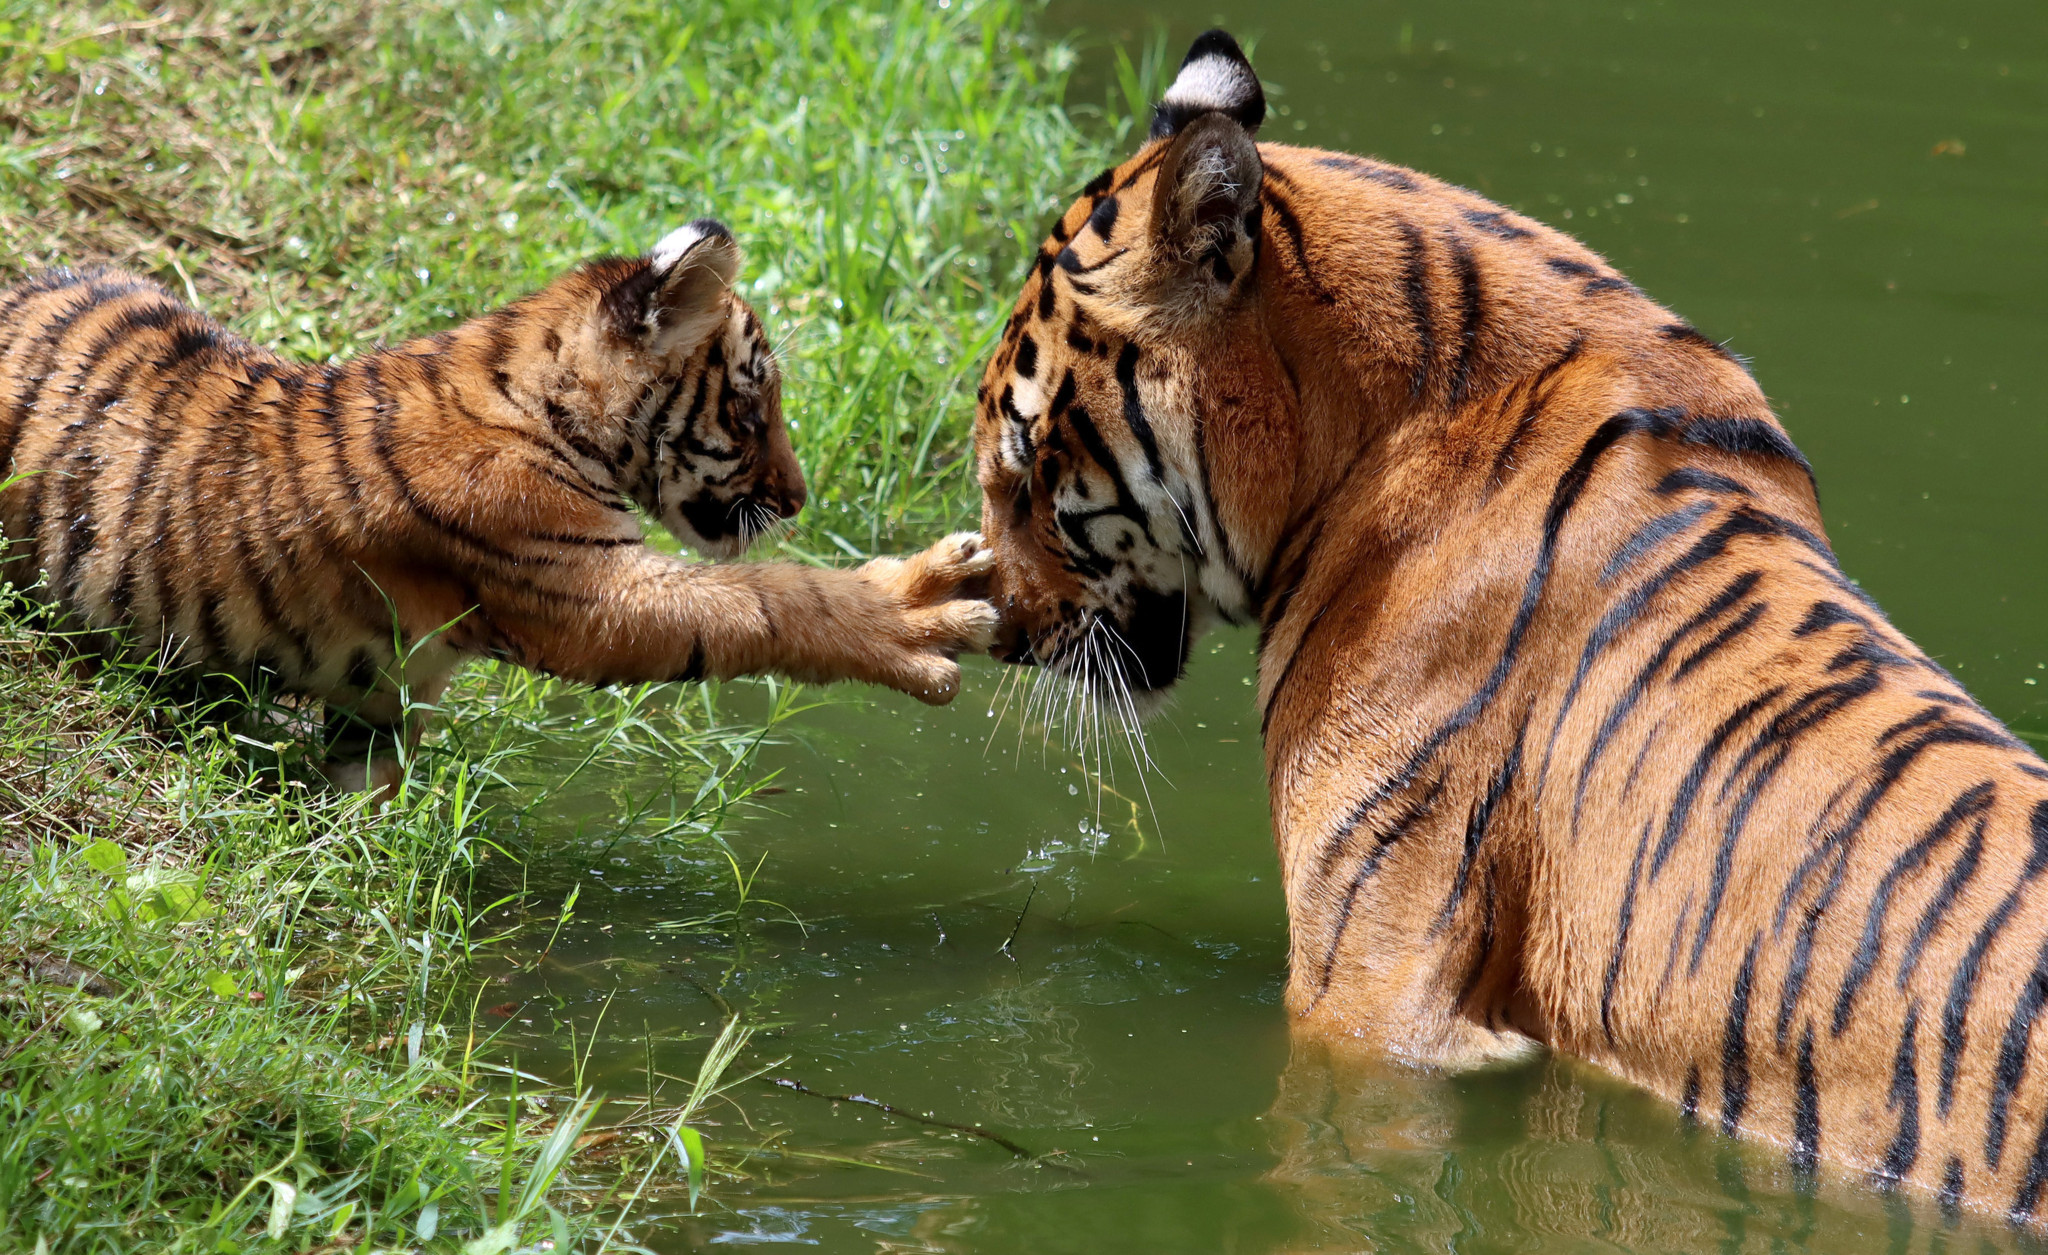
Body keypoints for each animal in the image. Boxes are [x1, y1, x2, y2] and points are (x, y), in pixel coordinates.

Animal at [0, 219, 996, 793]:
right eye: (752, 412)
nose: (799, 495)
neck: (541, 402)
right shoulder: (584, 587)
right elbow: (772, 601)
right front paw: (924, 611)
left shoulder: (379, 696)